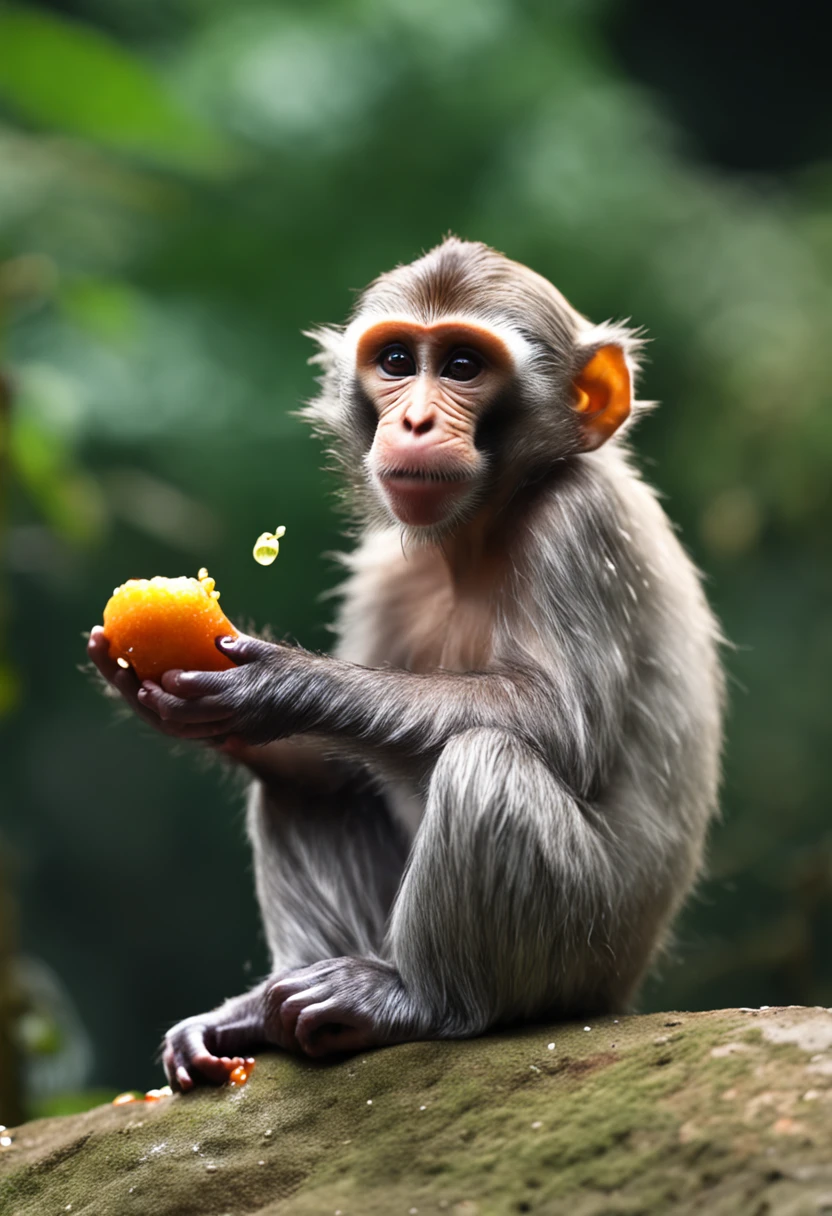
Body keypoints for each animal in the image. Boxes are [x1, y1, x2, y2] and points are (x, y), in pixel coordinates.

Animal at [86, 237, 720, 1094]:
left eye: (462, 365)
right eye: (395, 361)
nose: (414, 419)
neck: (479, 533)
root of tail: (624, 988)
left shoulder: (578, 522)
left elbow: (561, 725)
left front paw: (279, 684)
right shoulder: (382, 569)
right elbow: (326, 764)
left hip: (583, 954)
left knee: (485, 763)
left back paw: (419, 1001)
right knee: (303, 790)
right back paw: (268, 1015)